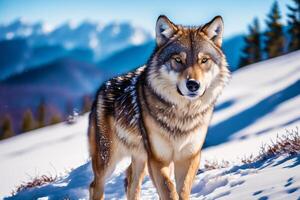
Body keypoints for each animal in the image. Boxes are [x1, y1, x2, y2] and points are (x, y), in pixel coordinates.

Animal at [88, 14, 231, 199]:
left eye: (204, 60)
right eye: (178, 60)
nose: (193, 85)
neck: (183, 115)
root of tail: (100, 90)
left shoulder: (189, 157)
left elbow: (182, 190)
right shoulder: (158, 159)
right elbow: (169, 190)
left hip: (140, 159)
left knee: (130, 180)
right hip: (109, 161)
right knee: (95, 185)